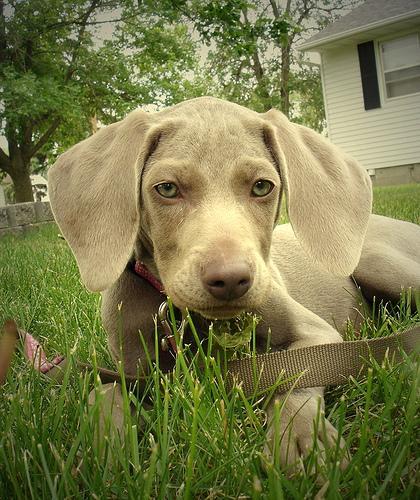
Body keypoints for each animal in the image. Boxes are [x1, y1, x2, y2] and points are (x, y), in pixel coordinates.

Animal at [46, 96, 420, 472]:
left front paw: (303, 439)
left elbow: (297, 373)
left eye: (262, 186)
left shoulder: (318, 334)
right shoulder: (139, 372)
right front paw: (105, 443)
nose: (230, 280)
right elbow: (103, 390)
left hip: (377, 263)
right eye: (167, 188)